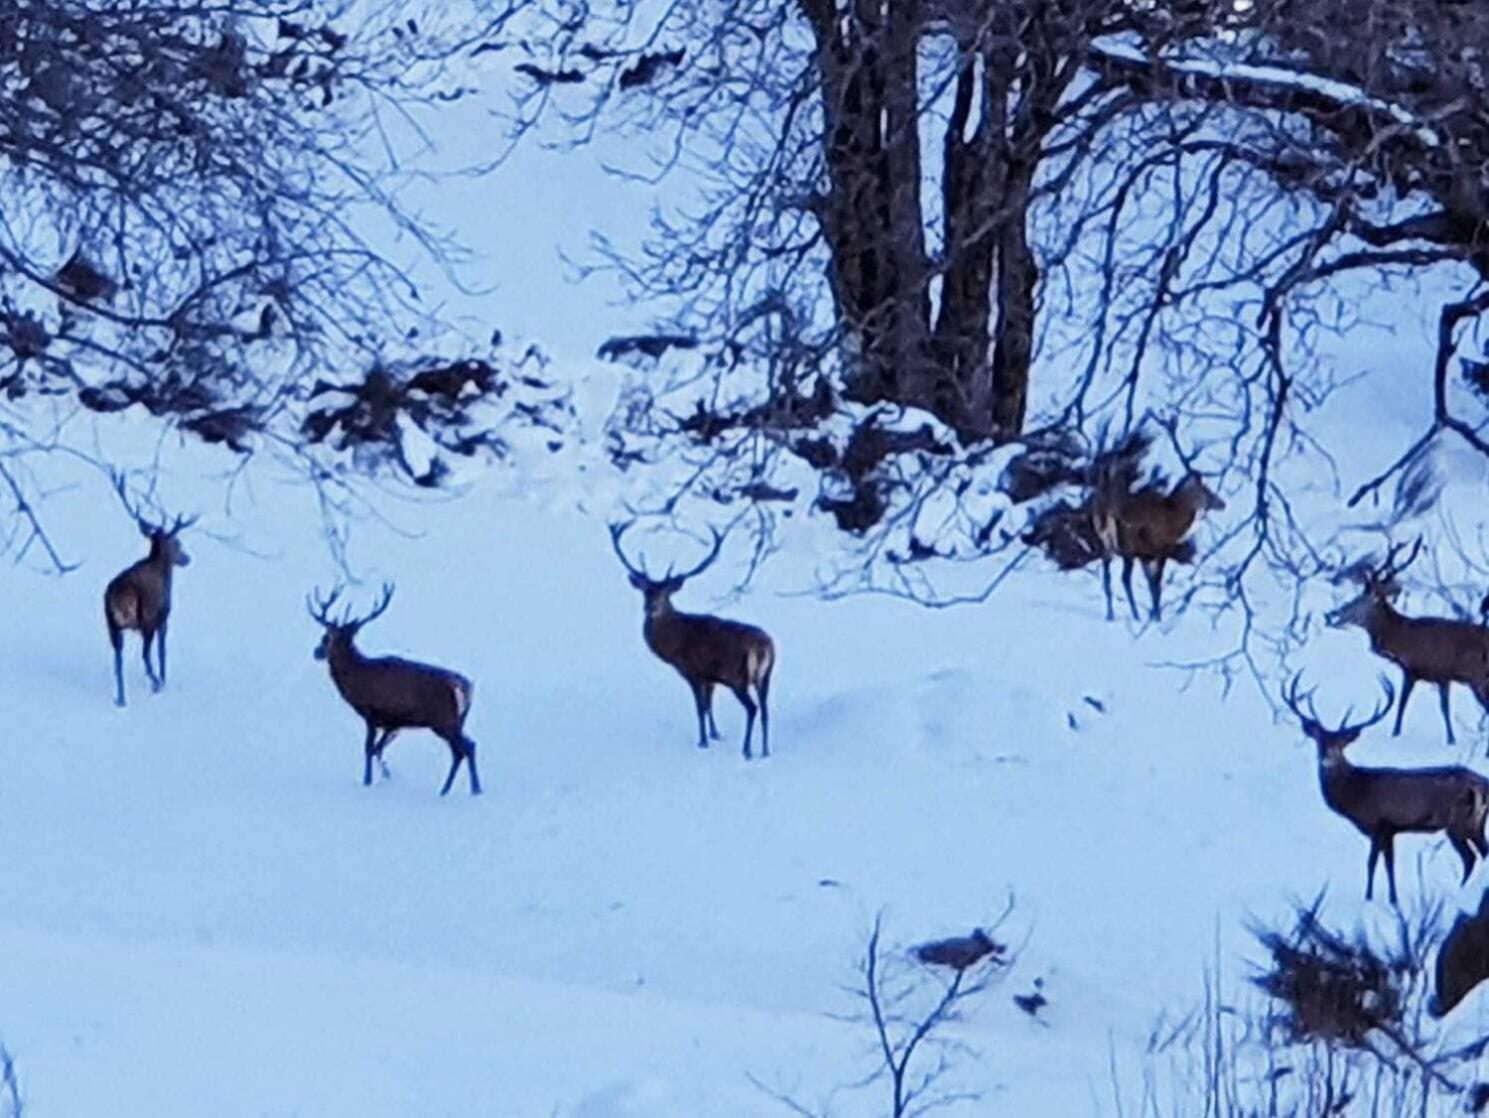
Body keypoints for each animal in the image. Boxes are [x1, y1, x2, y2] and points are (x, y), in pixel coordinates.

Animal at [103, 473, 198, 708]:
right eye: (177, 543)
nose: (187, 558)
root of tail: (121, 593)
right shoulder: (164, 616)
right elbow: (163, 651)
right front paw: (163, 679)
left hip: (110, 623)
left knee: (118, 659)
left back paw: (121, 698)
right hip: (146, 619)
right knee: (145, 655)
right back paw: (156, 683)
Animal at [308, 586, 482, 797]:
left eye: (326, 638)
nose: (316, 652)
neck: (357, 677)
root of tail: (463, 687)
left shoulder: (372, 713)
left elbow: (368, 748)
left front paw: (367, 781)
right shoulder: (392, 722)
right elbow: (379, 749)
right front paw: (386, 775)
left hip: (444, 719)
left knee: (463, 749)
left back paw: (456, 789)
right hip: (458, 720)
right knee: (467, 747)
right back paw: (466, 788)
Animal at [610, 524, 780, 762]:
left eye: (666, 594)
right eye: (646, 592)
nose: (651, 608)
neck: (674, 643)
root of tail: (763, 646)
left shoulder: (693, 671)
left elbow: (700, 708)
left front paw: (703, 741)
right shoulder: (710, 677)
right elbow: (709, 706)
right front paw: (715, 734)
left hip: (737, 676)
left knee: (753, 708)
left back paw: (746, 750)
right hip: (766, 676)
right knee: (765, 709)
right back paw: (765, 751)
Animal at [1280, 672, 1489, 911]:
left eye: (1341, 744)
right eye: (1319, 741)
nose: (1327, 758)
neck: (1357, 792)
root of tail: (1482, 785)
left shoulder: (1380, 823)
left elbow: (1374, 863)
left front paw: (1373, 898)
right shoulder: (1390, 829)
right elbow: (1386, 863)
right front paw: (1391, 898)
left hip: (1458, 822)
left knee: (1470, 858)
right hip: (1475, 823)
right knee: (1482, 852)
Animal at [1328, 538, 1489, 747]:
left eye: (1359, 601)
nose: (1333, 613)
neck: (1405, 641)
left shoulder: (1443, 671)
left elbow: (1444, 708)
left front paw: (1451, 739)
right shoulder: (1410, 672)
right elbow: (1401, 704)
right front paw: (1395, 733)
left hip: (1478, 677)